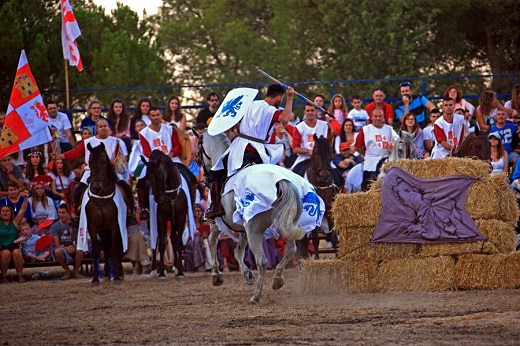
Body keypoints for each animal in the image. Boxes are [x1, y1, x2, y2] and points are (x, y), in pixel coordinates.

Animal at [142, 150, 189, 280]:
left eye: (159, 176)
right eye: (147, 178)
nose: (159, 199)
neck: (170, 194)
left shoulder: (180, 217)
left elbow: (177, 242)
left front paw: (180, 271)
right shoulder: (160, 218)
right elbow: (162, 243)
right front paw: (162, 273)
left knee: (173, 239)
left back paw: (177, 267)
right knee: (156, 240)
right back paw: (154, 269)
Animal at [196, 131, 322, 304]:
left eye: (198, 150)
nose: (205, 174)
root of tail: (283, 181)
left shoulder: (217, 224)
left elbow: (211, 241)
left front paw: (217, 276)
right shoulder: (243, 228)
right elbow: (238, 251)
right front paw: (247, 275)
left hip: (255, 230)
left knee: (262, 262)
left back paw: (256, 295)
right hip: (286, 224)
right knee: (290, 249)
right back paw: (277, 279)